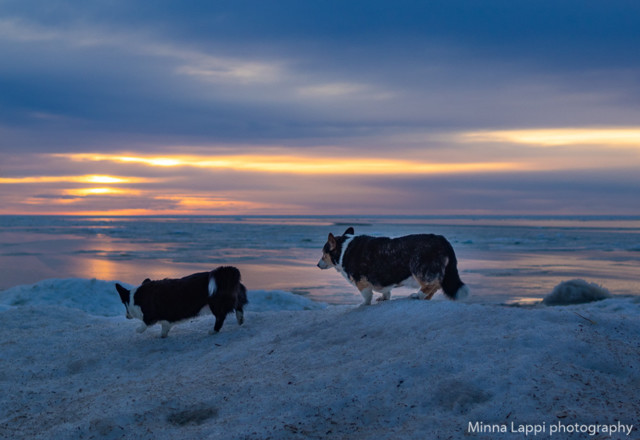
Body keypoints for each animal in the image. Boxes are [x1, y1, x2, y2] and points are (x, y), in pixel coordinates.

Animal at [115, 266, 248, 338]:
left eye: (124, 305)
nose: (126, 316)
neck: (136, 297)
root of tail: (225, 272)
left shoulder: (150, 316)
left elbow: (144, 325)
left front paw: (137, 330)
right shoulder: (166, 320)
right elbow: (164, 328)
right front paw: (162, 336)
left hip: (215, 305)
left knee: (221, 317)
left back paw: (213, 331)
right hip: (234, 294)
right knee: (239, 305)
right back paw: (240, 320)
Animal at [316, 229, 470, 304]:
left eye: (323, 253)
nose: (317, 265)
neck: (344, 248)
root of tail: (443, 241)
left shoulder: (362, 282)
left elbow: (366, 297)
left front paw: (363, 304)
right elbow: (386, 292)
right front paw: (383, 299)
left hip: (419, 268)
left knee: (432, 284)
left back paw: (417, 295)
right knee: (436, 285)